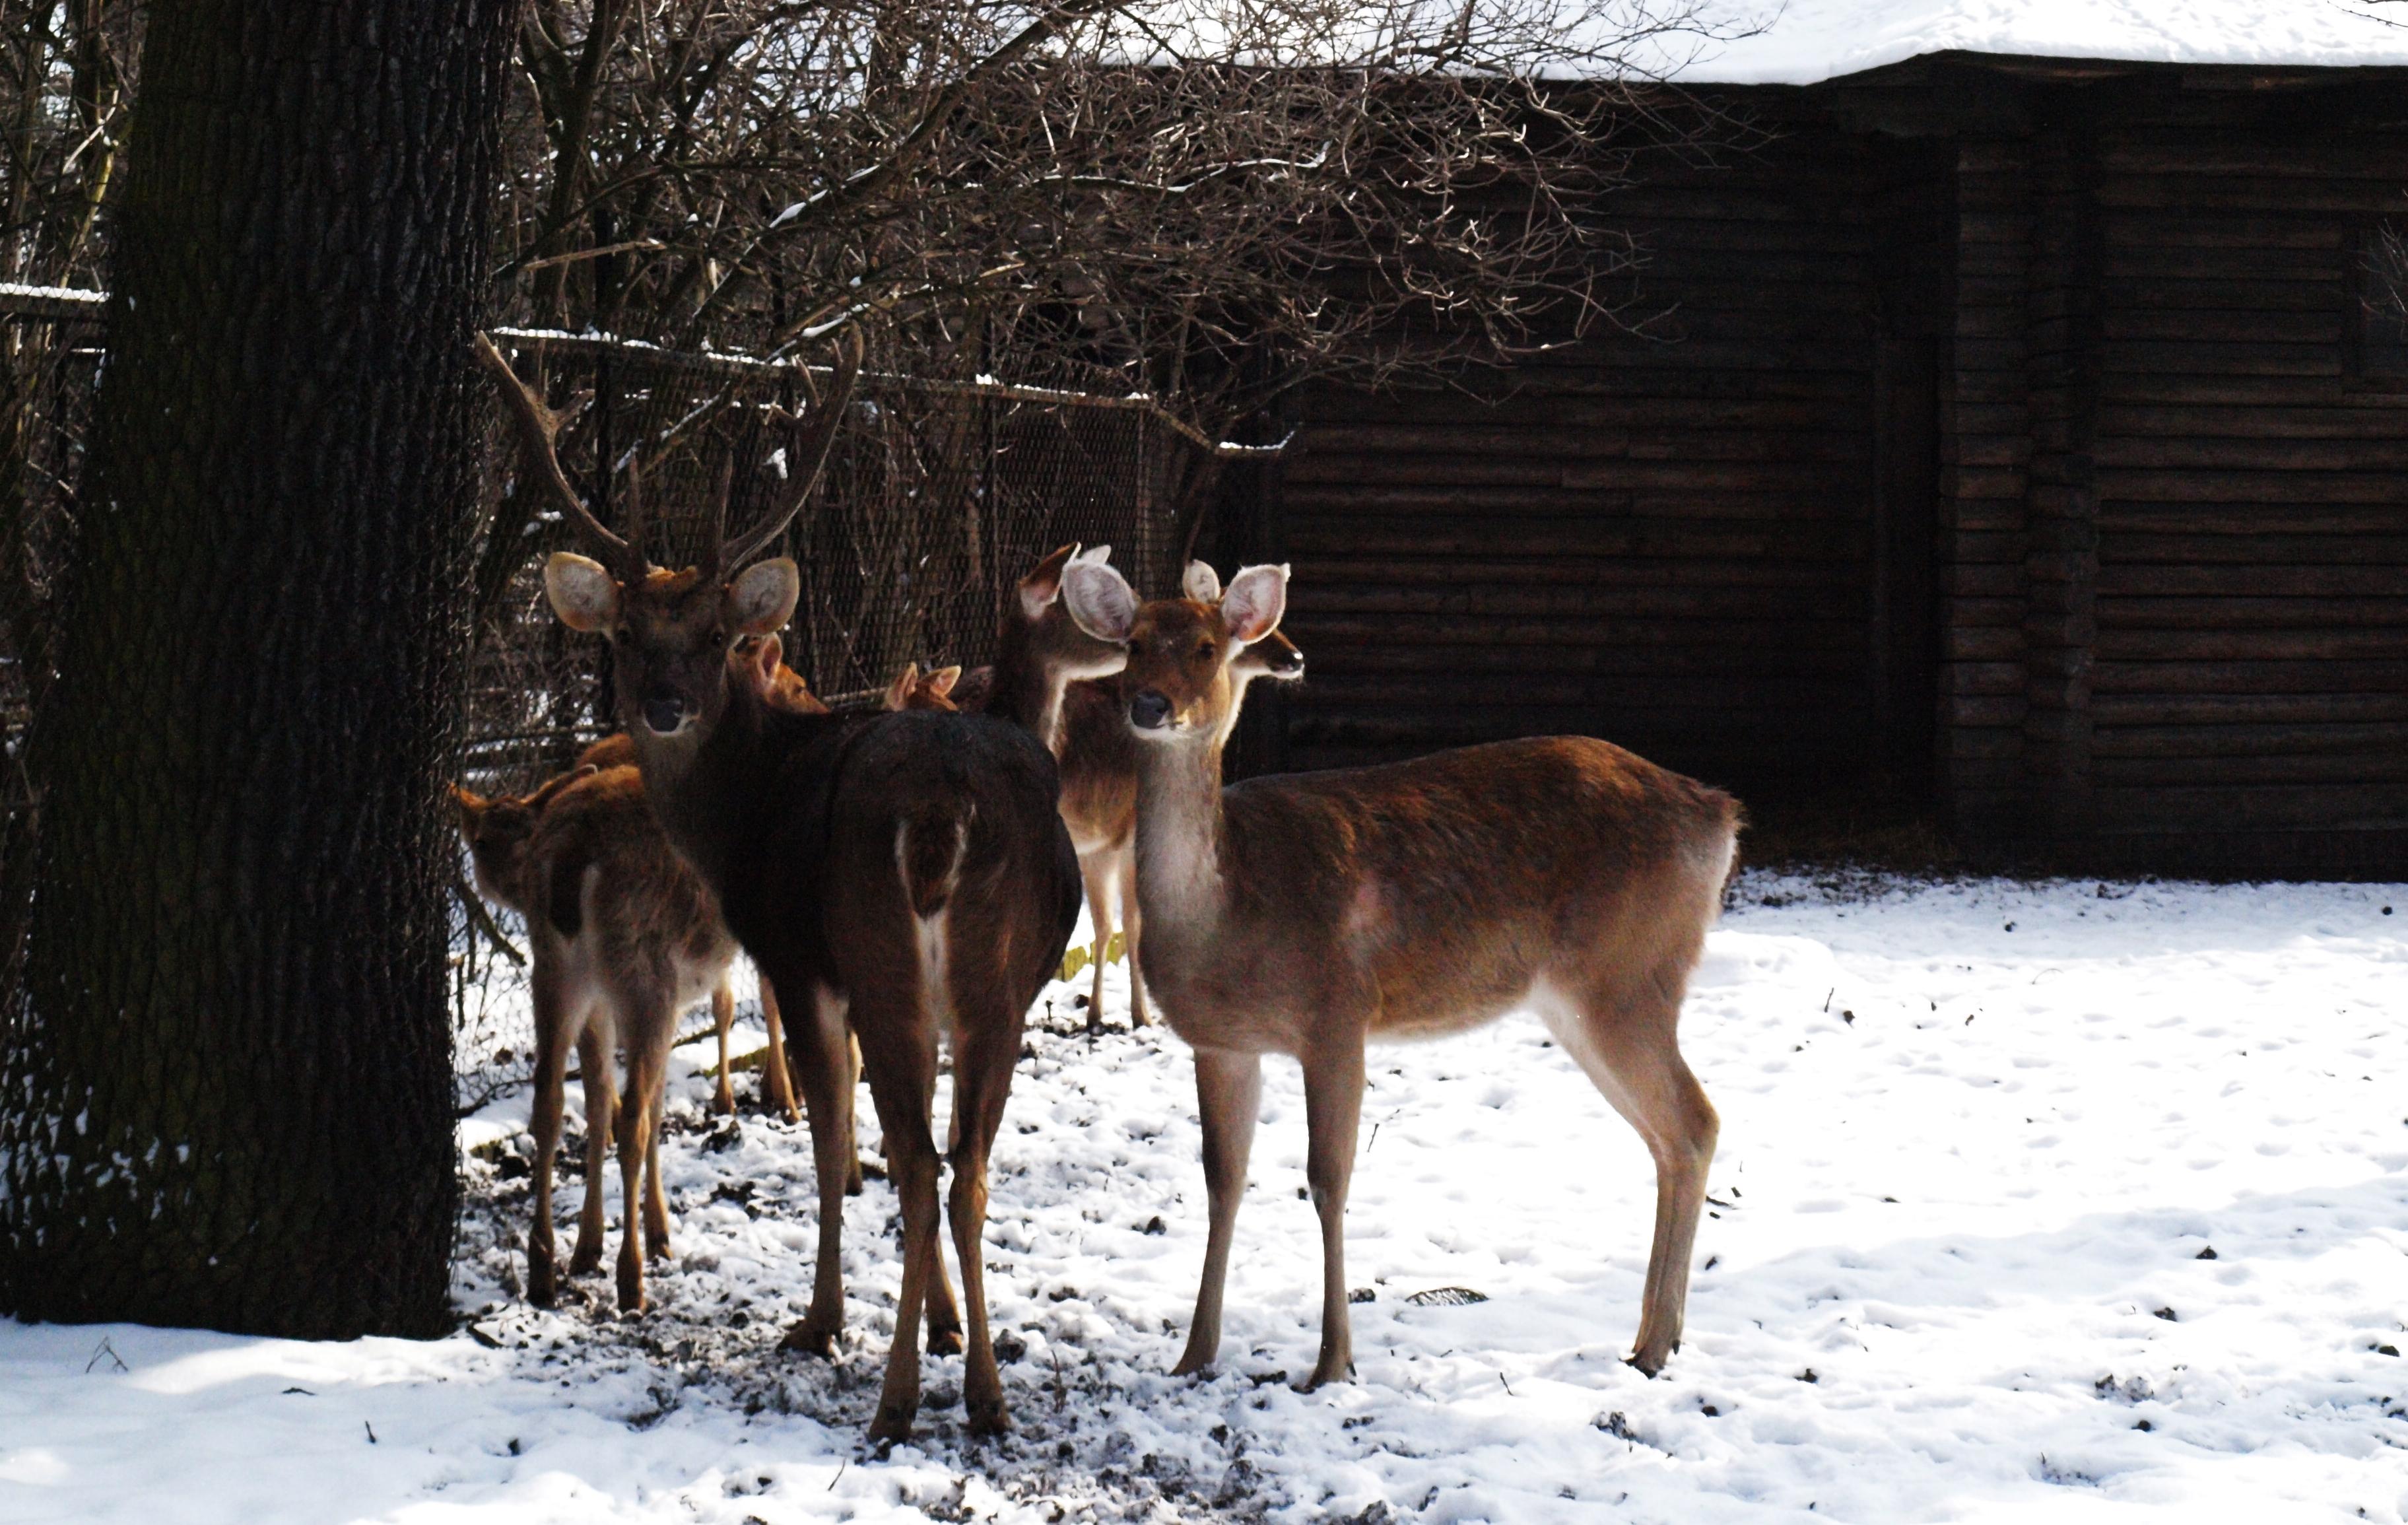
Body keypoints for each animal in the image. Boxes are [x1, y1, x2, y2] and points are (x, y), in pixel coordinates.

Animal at [452, 766, 741, 1310]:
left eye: (520, 832)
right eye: (479, 841)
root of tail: (571, 853)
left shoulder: (605, 1004)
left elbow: (601, 1098)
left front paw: (595, 1243)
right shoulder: (664, 996)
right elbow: (644, 1104)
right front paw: (657, 1234)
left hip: (556, 970)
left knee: (548, 1096)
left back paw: (544, 1265)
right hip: (644, 971)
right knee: (633, 1120)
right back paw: (631, 1279)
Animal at [1064, 556, 1743, 1378]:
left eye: (1204, 647)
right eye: (1132, 645)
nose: (1150, 705)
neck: (1229, 914)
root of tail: (1720, 816)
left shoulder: (1337, 1015)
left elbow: (1328, 1181)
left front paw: (1333, 1364)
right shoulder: (1221, 1043)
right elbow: (1222, 1181)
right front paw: (1194, 1354)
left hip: (1629, 974)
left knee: (1697, 1121)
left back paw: (1651, 1346)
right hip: (1583, 998)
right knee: (1669, 1136)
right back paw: (1655, 1338)